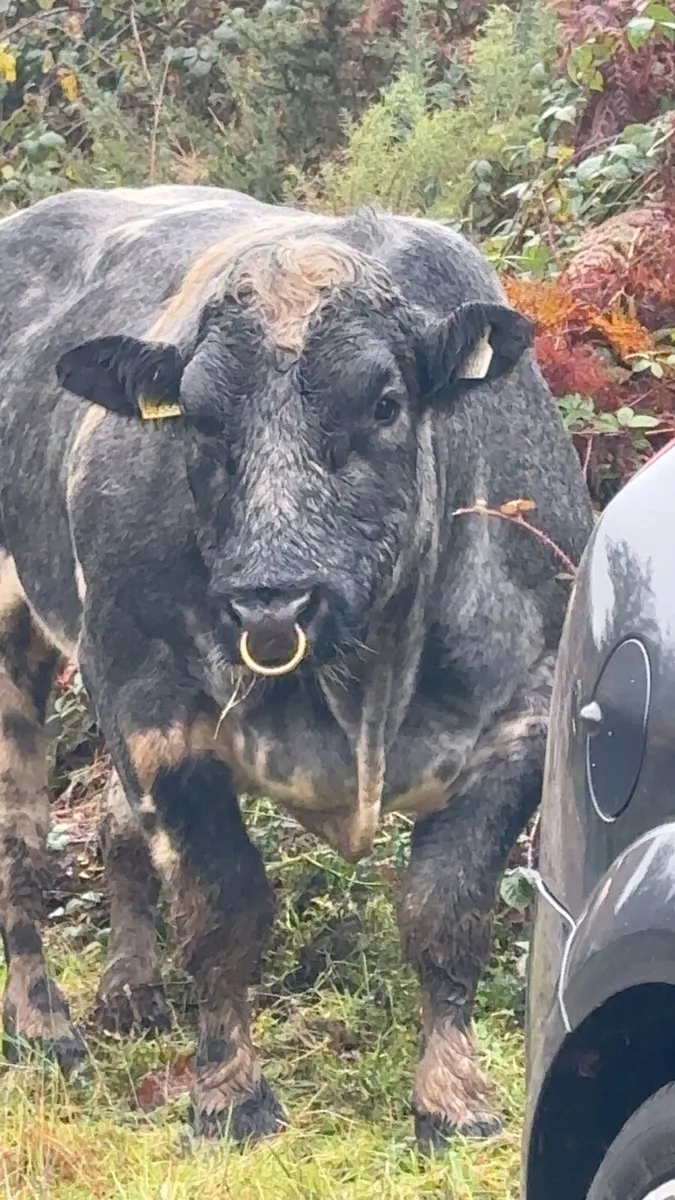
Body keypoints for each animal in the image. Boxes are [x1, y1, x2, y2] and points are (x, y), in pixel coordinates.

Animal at [0, 184, 593, 1151]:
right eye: (197, 418)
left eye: (384, 402)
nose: (271, 603)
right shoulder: (150, 703)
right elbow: (224, 907)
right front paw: (227, 1094)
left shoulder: (521, 715)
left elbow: (446, 910)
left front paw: (454, 1099)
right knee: (22, 844)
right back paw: (44, 1027)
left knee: (115, 832)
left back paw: (131, 991)